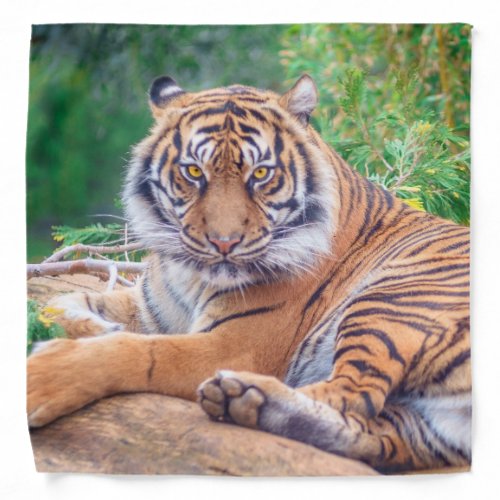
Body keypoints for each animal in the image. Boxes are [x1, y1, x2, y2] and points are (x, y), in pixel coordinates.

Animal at [26, 74, 472, 472]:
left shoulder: (233, 345)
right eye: (193, 172)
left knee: (354, 393)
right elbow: (65, 301)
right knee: (372, 434)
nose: (224, 243)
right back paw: (245, 402)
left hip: (391, 301)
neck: (192, 275)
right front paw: (96, 326)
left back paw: (245, 392)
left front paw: (41, 379)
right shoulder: (149, 306)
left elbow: (141, 352)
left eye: (260, 174)